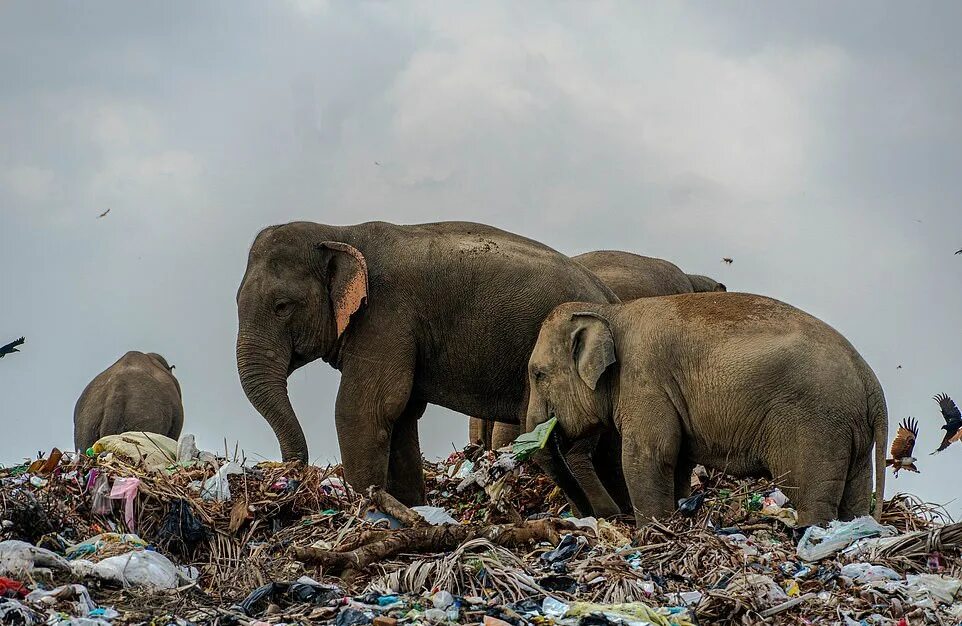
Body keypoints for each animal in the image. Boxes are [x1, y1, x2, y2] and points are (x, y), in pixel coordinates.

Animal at [233, 219, 632, 512]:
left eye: (282, 306)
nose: (290, 476)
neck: (339, 231)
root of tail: (611, 298)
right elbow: (401, 414)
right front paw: (409, 507)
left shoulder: (386, 316)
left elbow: (365, 410)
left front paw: (367, 509)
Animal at [524, 292, 884, 528]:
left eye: (537, 374)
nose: (603, 517)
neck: (611, 312)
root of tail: (872, 384)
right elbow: (679, 460)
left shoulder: (645, 380)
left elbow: (649, 455)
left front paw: (652, 533)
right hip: (851, 435)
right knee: (855, 496)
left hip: (817, 429)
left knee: (812, 499)